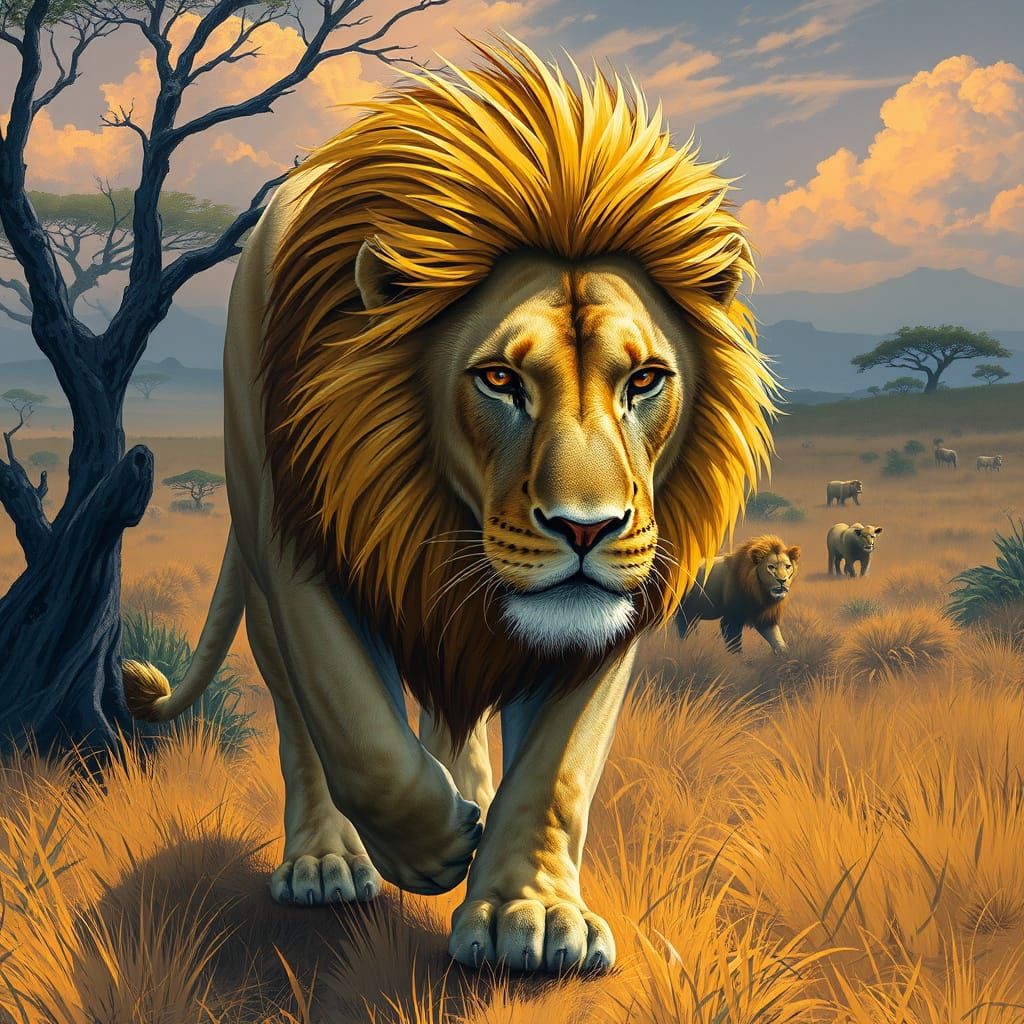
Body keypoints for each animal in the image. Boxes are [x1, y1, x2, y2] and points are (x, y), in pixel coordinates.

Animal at [121, 39, 775, 975]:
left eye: (645, 379)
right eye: (500, 379)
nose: (587, 529)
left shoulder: (617, 602)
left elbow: (557, 770)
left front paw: (527, 912)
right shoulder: (297, 551)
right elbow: (357, 733)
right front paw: (430, 849)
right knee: (302, 728)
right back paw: (329, 860)